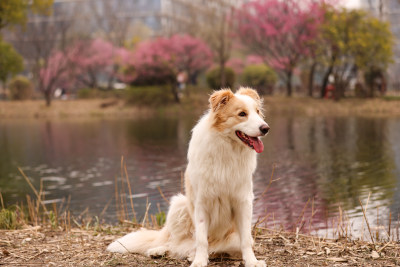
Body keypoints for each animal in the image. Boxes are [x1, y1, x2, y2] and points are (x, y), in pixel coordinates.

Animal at [107, 87, 268, 266]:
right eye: (242, 114)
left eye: (257, 112)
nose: (265, 128)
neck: (227, 149)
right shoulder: (202, 203)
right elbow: (201, 240)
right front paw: (199, 261)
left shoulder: (243, 202)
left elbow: (245, 240)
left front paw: (252, 261)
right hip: (179, 204)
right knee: (175, 243)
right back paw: (160, 251)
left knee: (211, 248)